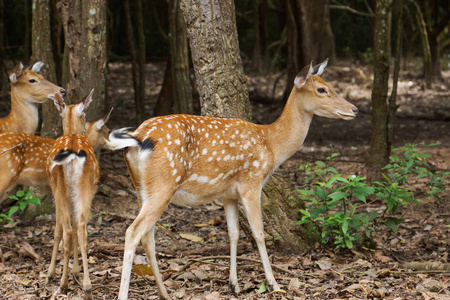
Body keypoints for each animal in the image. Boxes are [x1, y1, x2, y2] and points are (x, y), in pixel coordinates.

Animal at [45, 89, 100, 298]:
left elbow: (57, 231)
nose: (85, 126)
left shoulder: (55, 191)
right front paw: (76, 271)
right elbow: (76, 226)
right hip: (84, 188)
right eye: (85, 115)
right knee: (81, 228)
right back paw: (87, 285)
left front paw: (51, 273)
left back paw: (63, 283)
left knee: (67, 230)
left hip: (60, 187)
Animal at [107, 58, 356, 298]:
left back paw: (165, 293)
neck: (271, 145)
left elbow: (233, 233)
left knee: (148, 237)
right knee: (133, 232)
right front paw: (274, 284)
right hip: (164, 183)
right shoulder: (251, 182)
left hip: (141, 188)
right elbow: (259, 232)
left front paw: (233, 284)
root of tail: (137, 138)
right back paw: (126, 295)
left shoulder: (228, 194)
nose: (354, 109)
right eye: (322, 89)